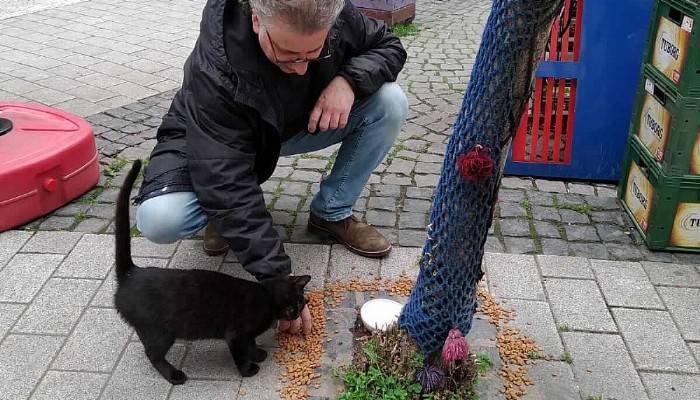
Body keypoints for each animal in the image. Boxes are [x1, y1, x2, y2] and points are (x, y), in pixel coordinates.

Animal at [113, 160, 308, 384]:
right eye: (299, 303)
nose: (298, 312)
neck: (268, 297)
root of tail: (131, 273)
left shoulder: (247, 336)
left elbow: (251, 345)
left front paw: (258, 354)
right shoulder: (236, 335)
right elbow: (242, 353)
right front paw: (248, 369)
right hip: (160, 331)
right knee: (153, 354)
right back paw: (174, 375)